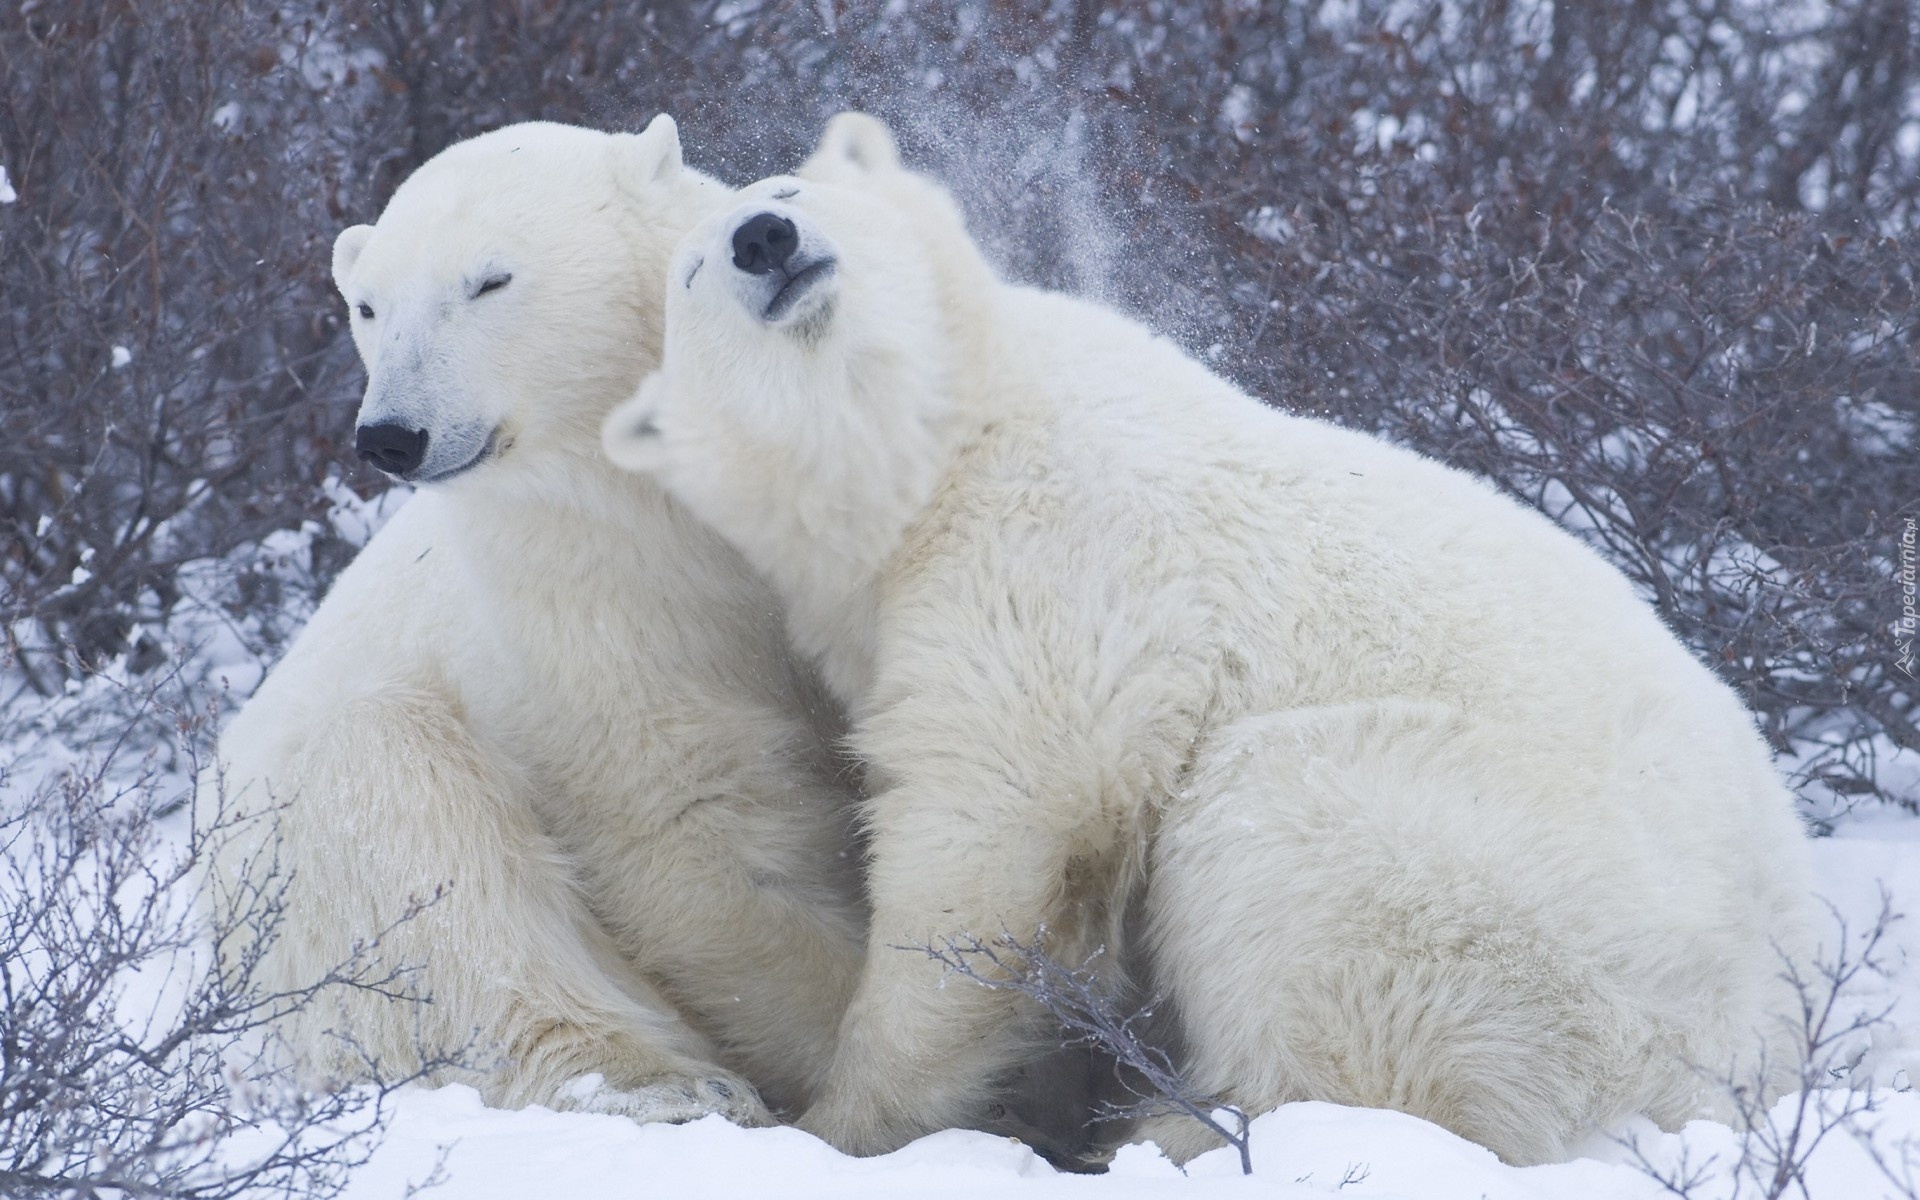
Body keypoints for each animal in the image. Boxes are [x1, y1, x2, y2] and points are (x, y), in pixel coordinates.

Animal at [208, 117, 864, 1128]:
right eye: (369, 307)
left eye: (489, 281)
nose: (391, 435)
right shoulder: (584, 598)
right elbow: (695, 825)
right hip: (299, 889)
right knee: (418, 837)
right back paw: (664, 1086)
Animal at [606, 114, 1820, 1159]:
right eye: (694, 272)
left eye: (790, 192)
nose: (765, 242)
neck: (945, 447)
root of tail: (1758, 1045)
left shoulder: (1056, 555)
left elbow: (1000, 825)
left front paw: (846, 1122)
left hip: (1514, 885)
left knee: (1291, 853)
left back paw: (1181, 1125)